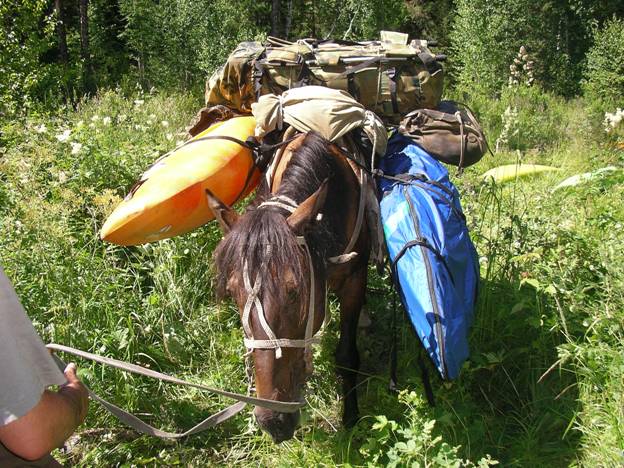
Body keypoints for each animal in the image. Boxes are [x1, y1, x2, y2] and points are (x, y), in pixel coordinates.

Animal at [207, 132, 368, 442]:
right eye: (233, 294)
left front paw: (352, 418)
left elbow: (346, 354)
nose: (272, 421)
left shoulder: (355, 279)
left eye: (296, 291)